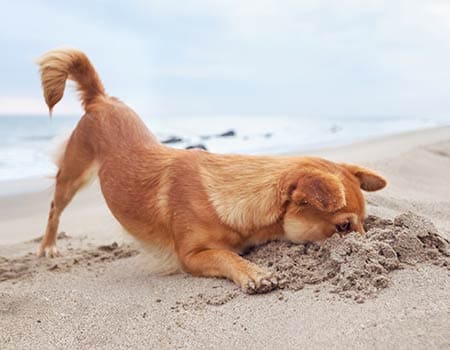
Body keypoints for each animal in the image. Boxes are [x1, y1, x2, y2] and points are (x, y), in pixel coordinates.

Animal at [36, 48, 386, 292]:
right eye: (343, 227)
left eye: (363, 224)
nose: (371, 251)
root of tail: (101, 100)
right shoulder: (190, 256)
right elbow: (226, 255)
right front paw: (253, 273)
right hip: (74, 175)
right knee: (53, 208)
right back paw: (48, 246)